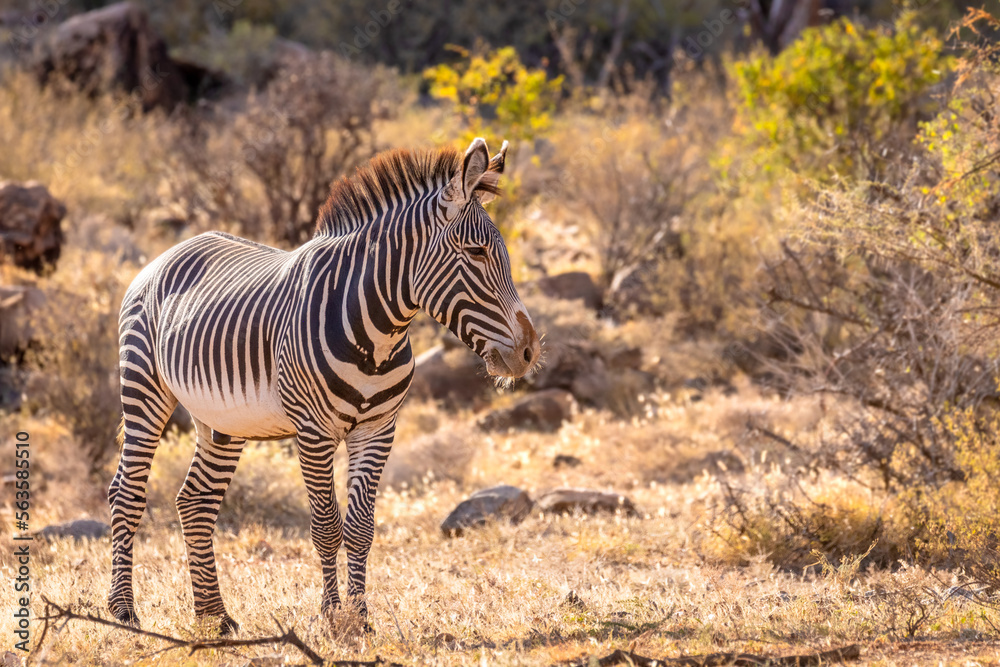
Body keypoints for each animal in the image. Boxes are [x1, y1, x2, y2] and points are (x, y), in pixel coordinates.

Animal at [107, 138, 540, 635]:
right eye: (476, 253)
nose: (528, 352)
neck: (378, 333)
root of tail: (168, 253)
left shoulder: (378, 430)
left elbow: (360, 528)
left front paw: (362, 617)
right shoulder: (313, 432)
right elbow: (327, 526)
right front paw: (333, 616)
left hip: (221, 421)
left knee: (195, 502)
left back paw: (214, 617)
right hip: (143, 388)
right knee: (126, 493)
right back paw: (124, 611)